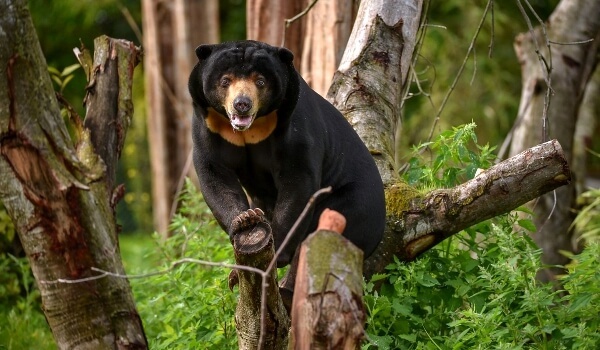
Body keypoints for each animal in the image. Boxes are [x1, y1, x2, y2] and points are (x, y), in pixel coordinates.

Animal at [188, 40, 384, 270]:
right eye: (225, 80)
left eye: (260, 81)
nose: (242, 104)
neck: (252, 128)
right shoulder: (208, 123)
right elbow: (215, 174)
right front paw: (244, 219)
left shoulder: (295, 124)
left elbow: (297, 180)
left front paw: (278, 250)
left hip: (352, 205)